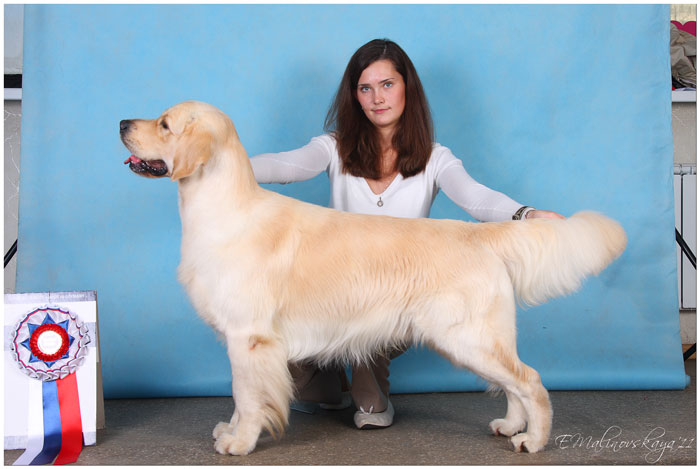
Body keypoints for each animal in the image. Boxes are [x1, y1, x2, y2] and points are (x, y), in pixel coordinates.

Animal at [120, 100, 626, 456]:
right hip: (475, 339)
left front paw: (239, 442)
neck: (221, 209)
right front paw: (230, 429)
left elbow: (245, 396)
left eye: (164, 124)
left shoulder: (249, 338)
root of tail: (478, 235)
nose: (122, 122)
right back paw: (510, 426)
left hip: (469, 337)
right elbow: (239, 396)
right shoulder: (245, 341)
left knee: (531, 380)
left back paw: (533, 440)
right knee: (514, 384)